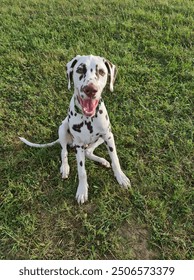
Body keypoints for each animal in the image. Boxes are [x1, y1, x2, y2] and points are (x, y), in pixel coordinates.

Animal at [19, 54, 130, 203]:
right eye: (80, 70)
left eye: (101, 72)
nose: (90, 89)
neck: (88, 119)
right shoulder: (78, 145)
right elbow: (81, 170)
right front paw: (82, 190)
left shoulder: (108, 136)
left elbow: (115, 159)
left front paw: (120, 177)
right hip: (63, 128)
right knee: (64, 151)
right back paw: (65, 167)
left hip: (103, 137)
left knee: (89, 151)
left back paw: (102, 161)